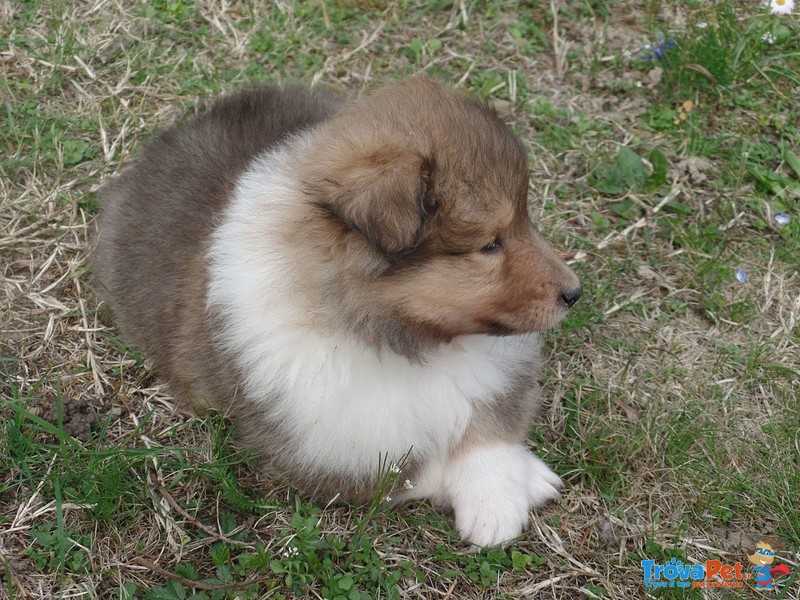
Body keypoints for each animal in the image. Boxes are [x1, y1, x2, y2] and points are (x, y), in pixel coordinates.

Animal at [95, 77, 580, 548]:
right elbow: (415, 470)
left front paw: (509, 487)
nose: (574, 292)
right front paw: (498, 508)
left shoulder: (500, 371)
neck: (400, 338)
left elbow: (489, 424)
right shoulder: (328, 451)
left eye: (524, 221)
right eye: (490, 244)